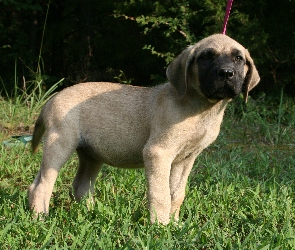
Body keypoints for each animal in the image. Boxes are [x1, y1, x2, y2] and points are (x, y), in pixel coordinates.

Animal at [27, 33, 260, 225]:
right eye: (206, 57)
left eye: (238, 58)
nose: (226, 73)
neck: (200, 107)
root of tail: (51, 100)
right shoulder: (158, 153)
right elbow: (161, 194)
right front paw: (160, 227)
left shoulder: (186, 159)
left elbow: (177, 194)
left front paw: (175, 225)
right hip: (60, 144)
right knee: (42, 185)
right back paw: (40, 218)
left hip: (91, 154)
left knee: (79, 186)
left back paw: (89, 213)